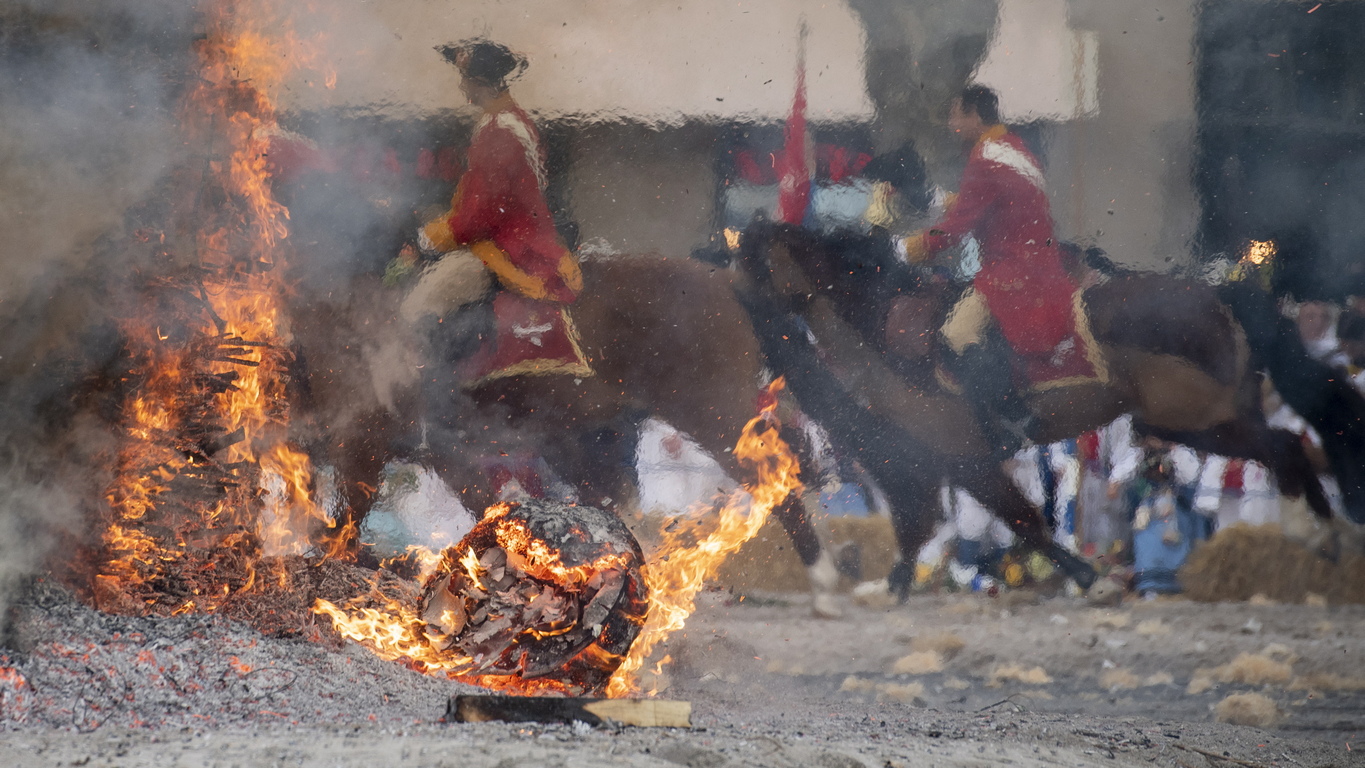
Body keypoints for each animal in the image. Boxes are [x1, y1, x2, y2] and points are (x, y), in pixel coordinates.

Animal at [737, 219, 1365, 597]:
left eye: (753, 270)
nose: (762, 337)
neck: (887, 324)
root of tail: (1217, 298)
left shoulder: (962, 457)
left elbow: (1020, 522)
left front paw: (1090, 577)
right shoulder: (933, 462)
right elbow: (927, 526)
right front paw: (890, 586)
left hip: (1197, 418)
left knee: (1282, 446)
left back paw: (1317, 531)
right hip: (1197, 419)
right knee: (1284, 448)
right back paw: (1318, 533)